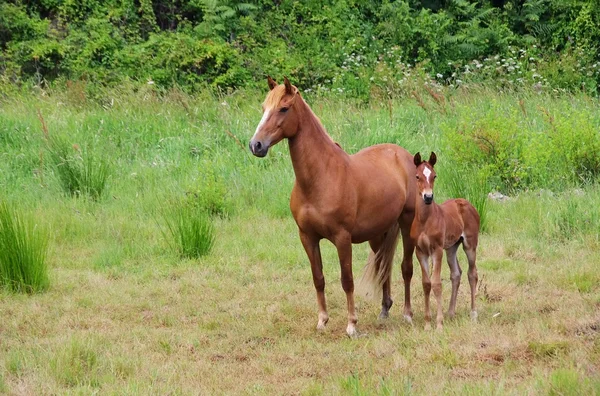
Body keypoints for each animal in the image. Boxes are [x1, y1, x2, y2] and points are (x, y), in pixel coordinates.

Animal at [248, 77, 418, 338]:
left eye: (284, 109)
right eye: (263, 107)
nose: (256, 145)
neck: (320, 177)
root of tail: (403, 155)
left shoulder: (342, 238)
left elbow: (347, 280)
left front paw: (352, 325)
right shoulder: (307, 237)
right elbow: (318, 278)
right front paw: (322, 320)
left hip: (407, 224)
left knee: (406, 268)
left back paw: (407, 314)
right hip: (378, 233)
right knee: (383, 266)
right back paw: (384, 310)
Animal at [410, 152, 480, 332]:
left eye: (434, 176)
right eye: (417, 176)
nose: (428, 197)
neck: (425, 221)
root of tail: (466, 203)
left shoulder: (437, 250)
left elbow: (436, 284)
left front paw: (439, 324)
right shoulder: (420, 252)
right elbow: (426, 284)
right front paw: (428, 324)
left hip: (470, 245)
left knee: (472, 274)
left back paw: (473, 313)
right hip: (452, 247)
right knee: (456, 273)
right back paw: (451, 312)